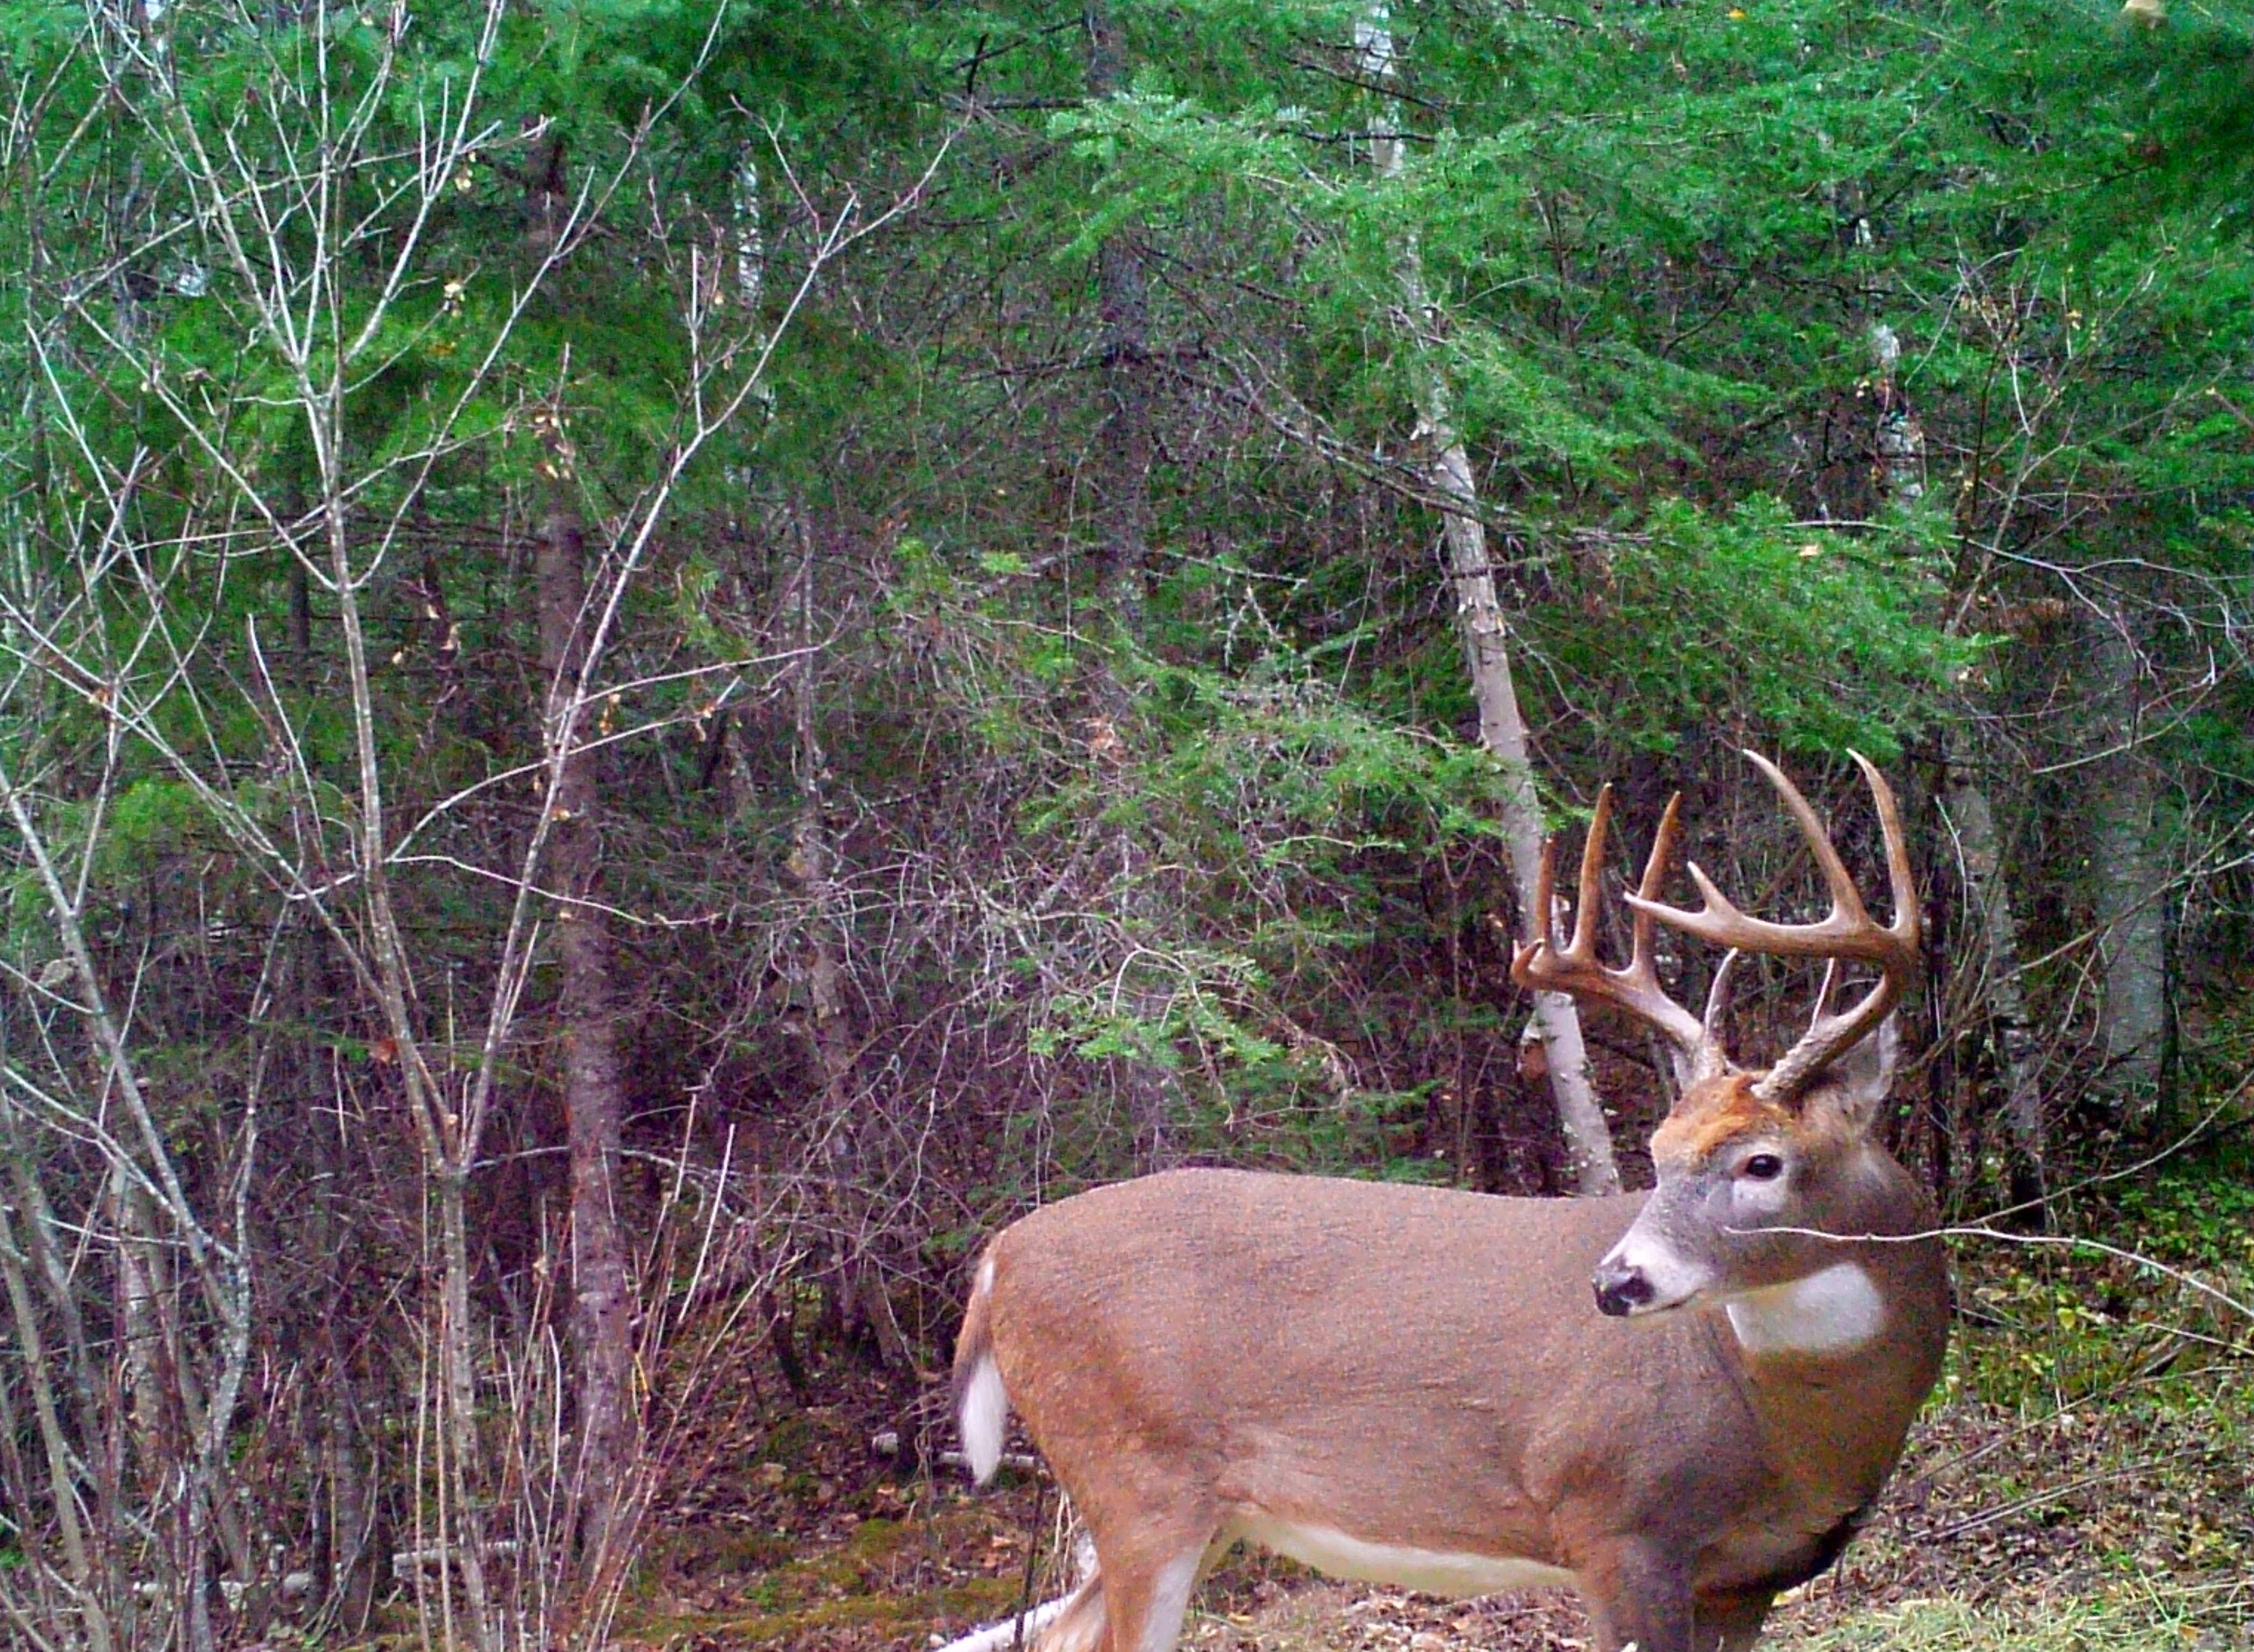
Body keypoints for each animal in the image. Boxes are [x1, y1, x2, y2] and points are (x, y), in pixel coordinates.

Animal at [951, 752, 1948, 1652]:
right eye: (1660, 1155)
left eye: (1761, 1161)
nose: (1614, 1284)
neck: (1790, 1431)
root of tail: (1000, 1258)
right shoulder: (1612, 1520)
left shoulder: (1750, 1579)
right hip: (1135, 1475)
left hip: (1199, 1510)